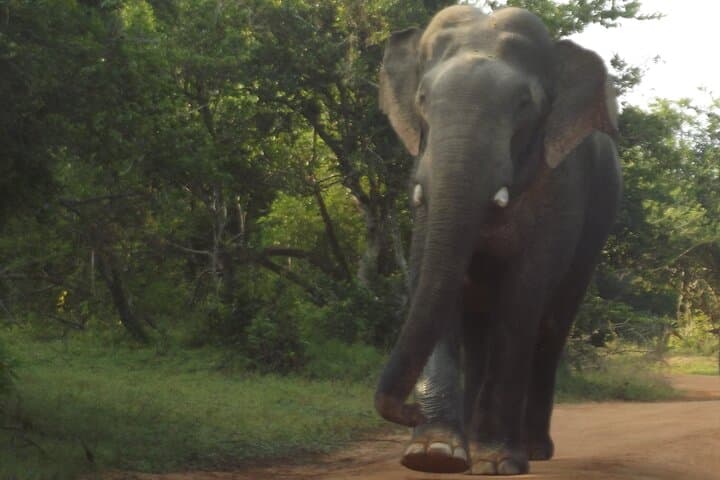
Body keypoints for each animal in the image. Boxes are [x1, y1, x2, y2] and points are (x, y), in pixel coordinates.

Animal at [374, 5, 622, 476]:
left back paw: (533, 450)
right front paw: (434, 454)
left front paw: (497, 461)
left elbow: (523, 293)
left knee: (551, 328)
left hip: (597, 227)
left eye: (523, 105)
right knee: (478, 331)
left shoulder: (559, 189)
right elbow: (430, 277)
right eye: (422, 99)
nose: (407, 412)